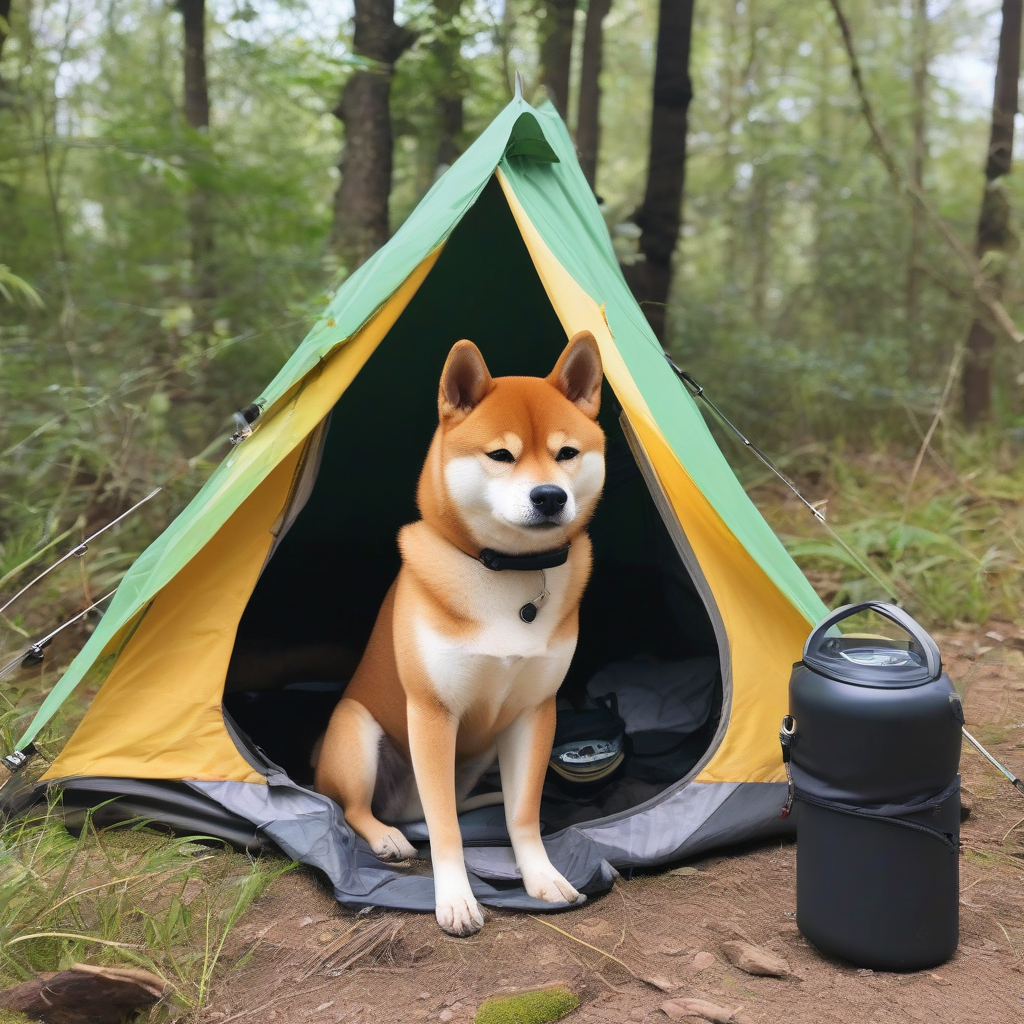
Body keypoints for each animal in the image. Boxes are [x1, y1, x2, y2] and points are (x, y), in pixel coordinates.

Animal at [315, 333, 602, 937]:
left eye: (567, 454)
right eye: (501, 456)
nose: (549, 496)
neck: (508, 575)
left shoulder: (535, 713)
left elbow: (523, 815)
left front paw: (542, 876)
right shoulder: (432, 712)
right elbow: (445, 828)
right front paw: (455, 900)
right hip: (358, 733)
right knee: (359, 809)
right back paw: (386, 836)